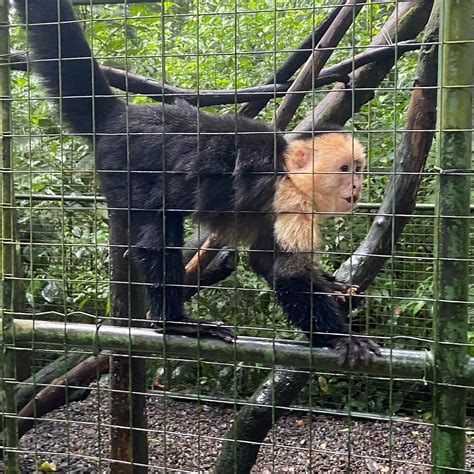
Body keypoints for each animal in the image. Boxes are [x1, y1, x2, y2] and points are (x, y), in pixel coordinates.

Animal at [13, 0, 382, 366]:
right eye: (344, 169)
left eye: (358, 168)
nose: (356, 187)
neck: (288, 171)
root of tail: (121, 117)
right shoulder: (290, 197)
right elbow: (289, 274)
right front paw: (341, 338)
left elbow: (266, 260)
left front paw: (334, 287)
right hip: (125, 169)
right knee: (157, 238)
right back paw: (174, 322)